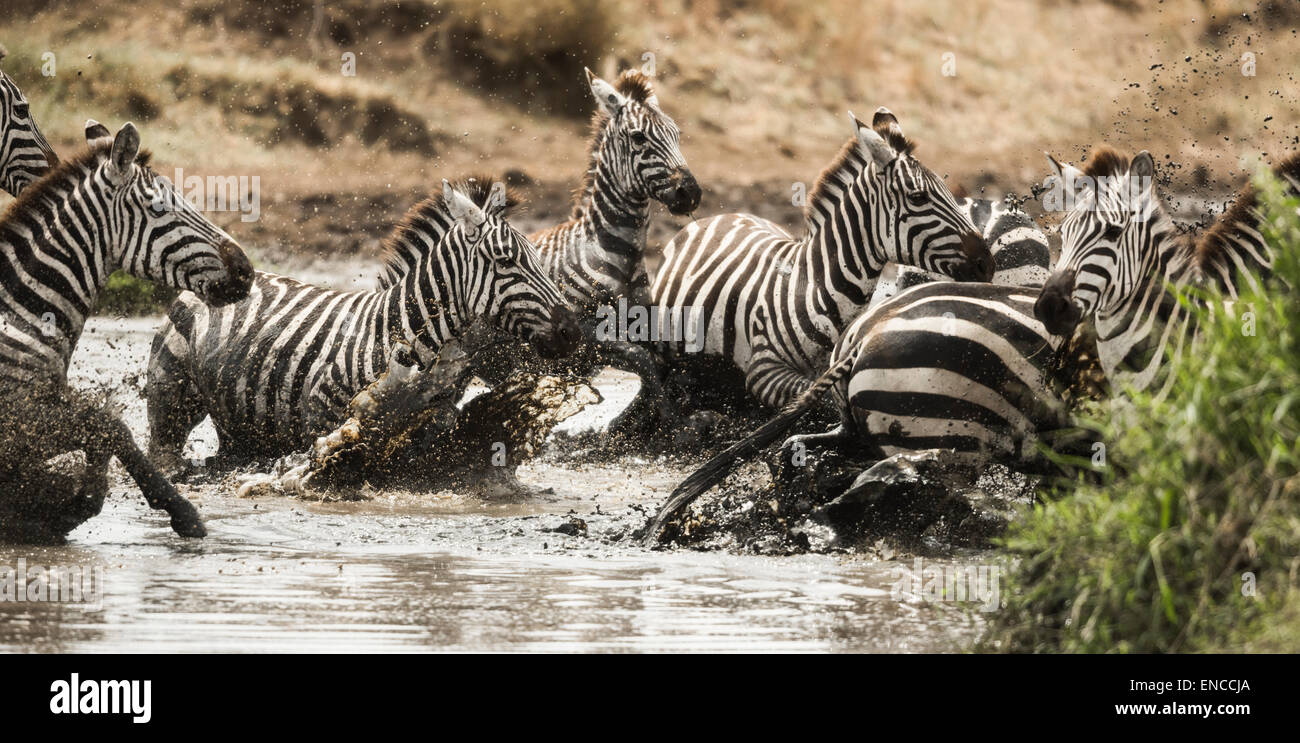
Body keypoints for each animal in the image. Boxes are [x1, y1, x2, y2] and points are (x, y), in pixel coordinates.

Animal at [0, 122, 256, 540]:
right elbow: (111, 426)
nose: (245, 271)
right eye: (160, 208)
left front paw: (59, 502)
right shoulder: (17, 418)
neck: (21, 312)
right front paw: (181, 511)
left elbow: (101, 431)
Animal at [143, 176, 585, 467]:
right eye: (506, 261)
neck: (402, 335)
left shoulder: (430, 429)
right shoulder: (321, 416)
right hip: (171, 399)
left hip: (238, 422)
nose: (572, 331)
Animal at [644, 146, 1294, 540]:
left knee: (798, 457)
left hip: (860, 428)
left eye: (1110, 234)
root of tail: (864, 336)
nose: (1052, 309)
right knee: (891, 483)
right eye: (1068, 233)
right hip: (949, 435)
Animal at [650, 106, 993, 410]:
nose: (987, 264)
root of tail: (723, 215)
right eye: (918, 197)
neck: (815, 289)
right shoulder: (762, 369)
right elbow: (817, 397)